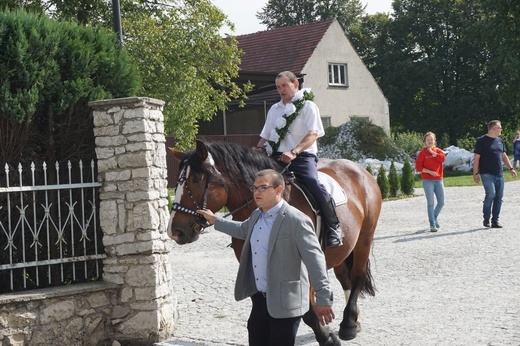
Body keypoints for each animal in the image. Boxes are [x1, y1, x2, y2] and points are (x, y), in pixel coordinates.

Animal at [167, 140, 382, 344]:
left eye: (196, 180)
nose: (174, 232)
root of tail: (360, 170)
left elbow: (307, 311)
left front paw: (327, 337)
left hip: (364, 238)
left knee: (357, 275)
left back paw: (348, 324)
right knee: (344, 276)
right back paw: (354, 320)